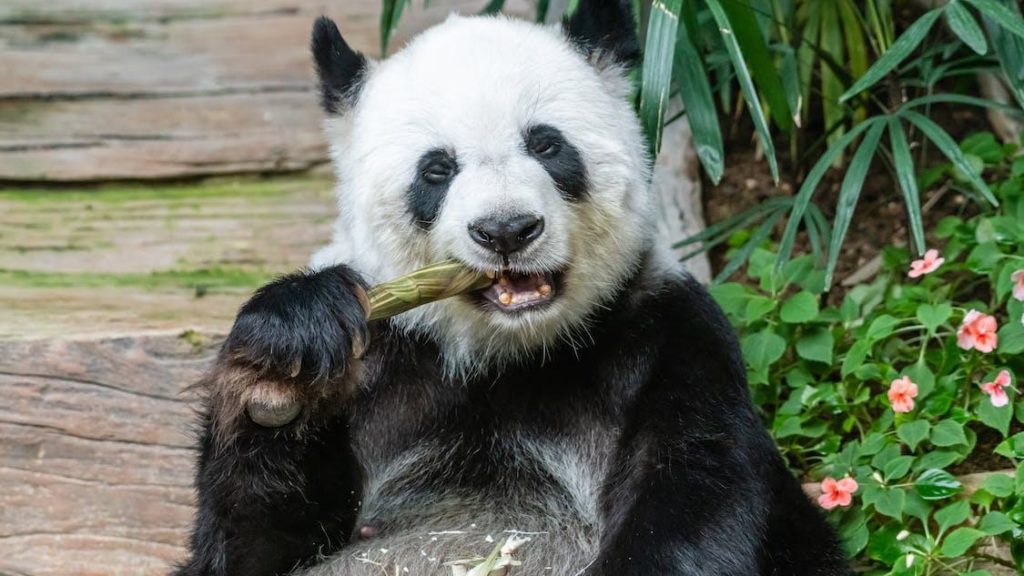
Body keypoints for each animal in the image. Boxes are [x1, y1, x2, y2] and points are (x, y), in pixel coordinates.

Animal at [174, 1, 847, 573]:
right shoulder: (384, 359)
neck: (505, 353)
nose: (506, 230)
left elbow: (695, 499)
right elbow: (249, 547)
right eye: (436, 170)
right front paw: (283, 369)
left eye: (546, 144)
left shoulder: (668, 334)